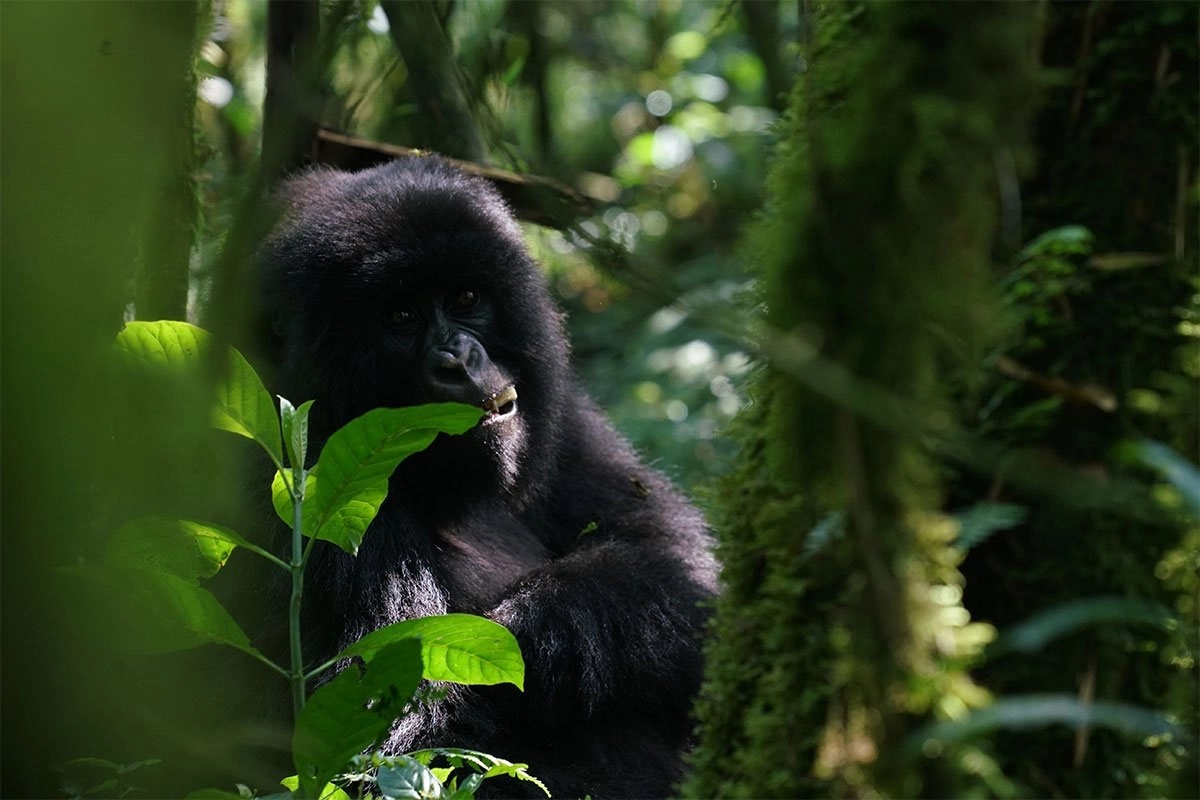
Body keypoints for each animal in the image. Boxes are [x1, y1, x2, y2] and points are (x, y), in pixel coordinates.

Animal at [252, 158, 715, 800]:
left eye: (466, 296)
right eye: (400, 317)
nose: (458, 361)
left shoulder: (561, 417)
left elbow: (674, 556)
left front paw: (553, 617)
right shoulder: (303, 489)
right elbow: (377, 746)